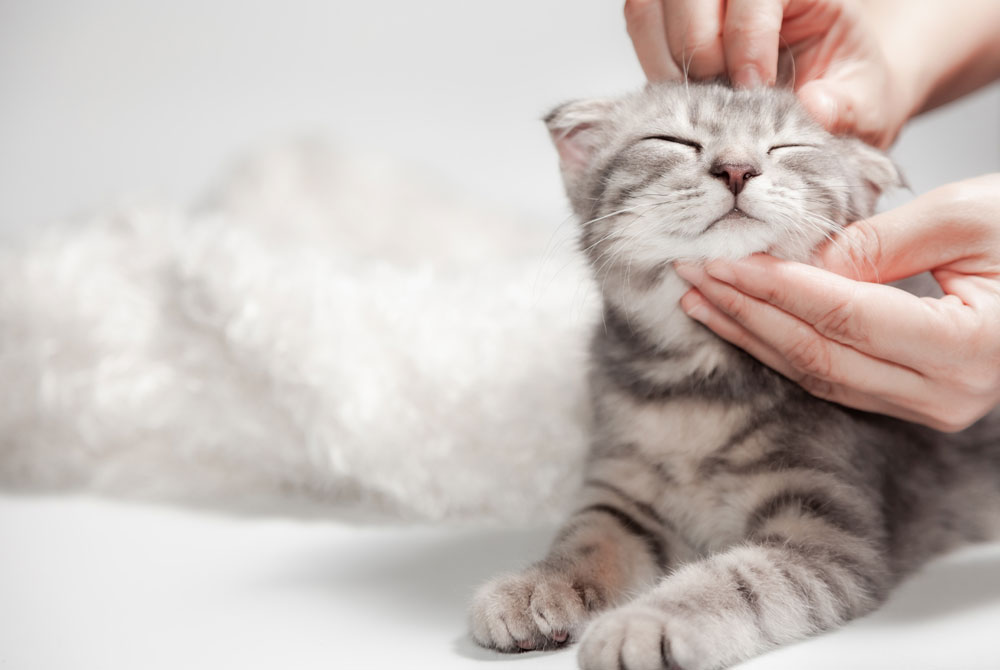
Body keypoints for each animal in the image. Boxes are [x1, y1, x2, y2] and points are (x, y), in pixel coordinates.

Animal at [468, 84, 1000, 670]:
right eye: (671, 139)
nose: (737, 168)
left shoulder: (829, 528)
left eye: (786, 147)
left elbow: (736, 581)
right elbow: (586, 538)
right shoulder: (623, 492)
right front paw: (536, 587)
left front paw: (645, 623)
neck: (701, 383)